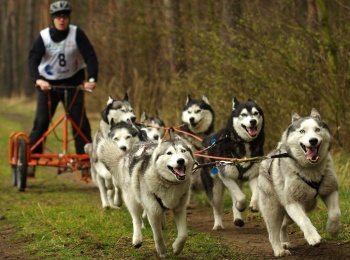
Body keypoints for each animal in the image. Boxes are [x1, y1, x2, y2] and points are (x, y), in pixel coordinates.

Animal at [198, 97, 264, 230]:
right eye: (243, 114)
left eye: (256, 113)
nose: (253, 121)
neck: (244, 144)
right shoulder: (227, 176)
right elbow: (241, 198)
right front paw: (241, 206)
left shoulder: (253, 175)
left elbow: (254, 192)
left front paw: (254, 205)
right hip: (215, 189)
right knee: (216, 207)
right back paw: (218, 225)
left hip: (236, 181)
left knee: (234, 199)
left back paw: (238, 218)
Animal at [258, 108, 340, 256]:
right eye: (302, 131)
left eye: (317, 129)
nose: (313, 140)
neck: (311, 169)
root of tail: (269, 156)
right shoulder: (292, 202)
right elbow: (304, 220)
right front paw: (313, 237)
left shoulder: (330, 190)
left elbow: (335, 213)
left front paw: (333, 229)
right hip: (273, 208)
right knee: (273, 231)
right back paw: (279, 249)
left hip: (297, 210)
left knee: (283, 224)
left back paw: (284, 241)